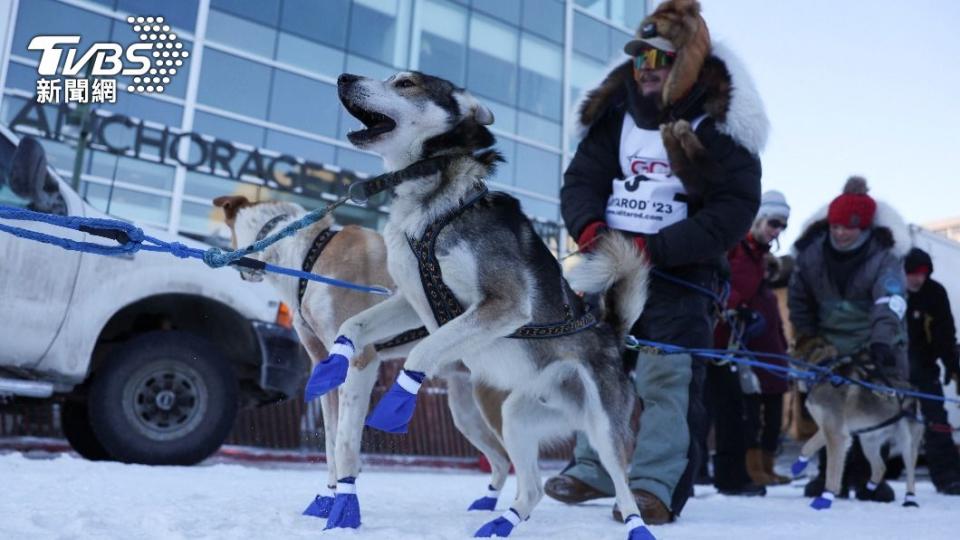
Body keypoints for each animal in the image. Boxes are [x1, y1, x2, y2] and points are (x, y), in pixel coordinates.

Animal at [210, 195, 510, 528]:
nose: (238, 268)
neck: (307, 254)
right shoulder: (325, 366)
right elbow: (331, 440)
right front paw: (328, 499)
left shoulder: (361, 360)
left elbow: (345, 443)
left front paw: (345, 505)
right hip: (465, 411)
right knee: (502, 460)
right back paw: (488, 505)